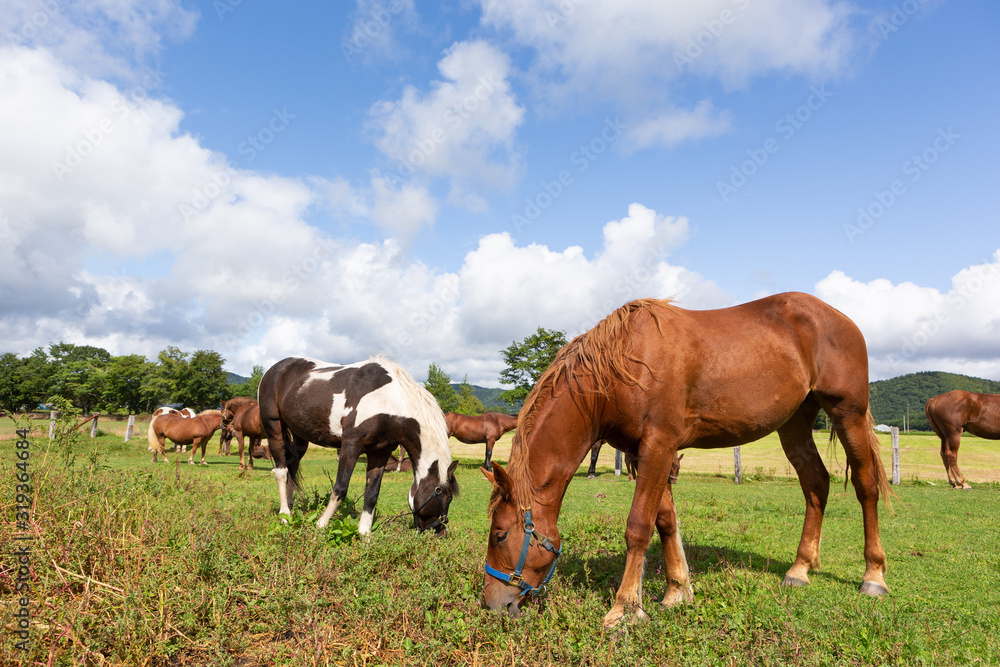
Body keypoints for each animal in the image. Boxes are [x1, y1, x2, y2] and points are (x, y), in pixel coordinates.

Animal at [258, 354, 460, 536]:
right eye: (448, 497)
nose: (442, 533)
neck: (388, 401)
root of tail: (273, 370)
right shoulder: (350, 446)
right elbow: (340, 488)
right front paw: (321, 525)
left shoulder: (380, 453)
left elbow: (372, 494)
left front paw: (364, 535)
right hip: (274, 428)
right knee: (281, 471)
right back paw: (284, 516)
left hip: (300, 436)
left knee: (292, 465)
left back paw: (290, 509)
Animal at [484, 294, 892, 628]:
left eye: (500, 534)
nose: (492, 604)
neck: (619, 366)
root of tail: (840, 318)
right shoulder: (645, 451)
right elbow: (665, 520)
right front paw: (677, 591)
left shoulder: (658, 446)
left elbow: (638, 526)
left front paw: (623, 609)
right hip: (794, 424)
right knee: (816, 483)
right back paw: (800, 568)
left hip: (849, 415)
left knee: (866, 487)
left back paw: (873, 576)